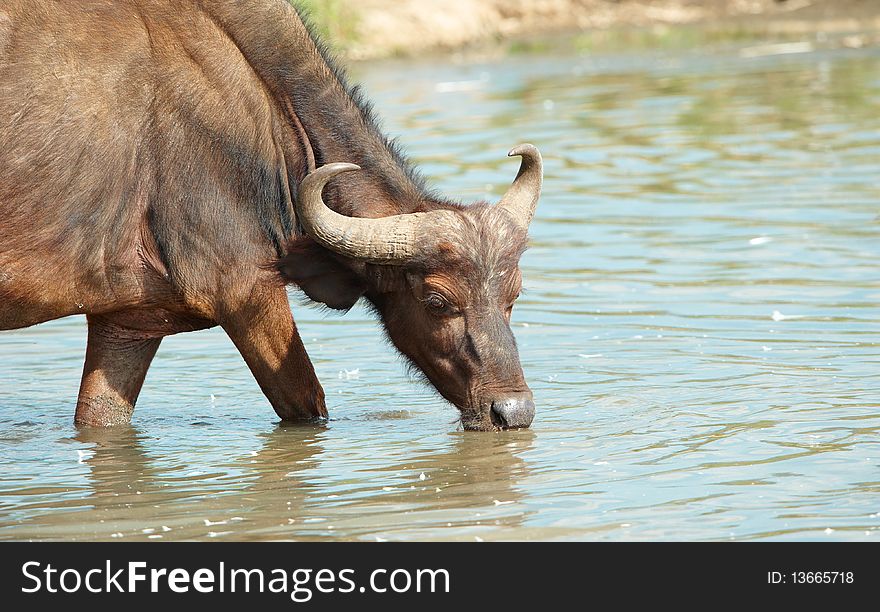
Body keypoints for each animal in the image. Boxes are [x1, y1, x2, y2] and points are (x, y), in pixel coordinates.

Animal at [0, 0, 544, 432]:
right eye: (437, 301)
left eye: (514, 296)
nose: (511, 412)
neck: (267, 114)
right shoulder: (245, 292)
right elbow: (307, 403)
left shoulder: (127, 322)